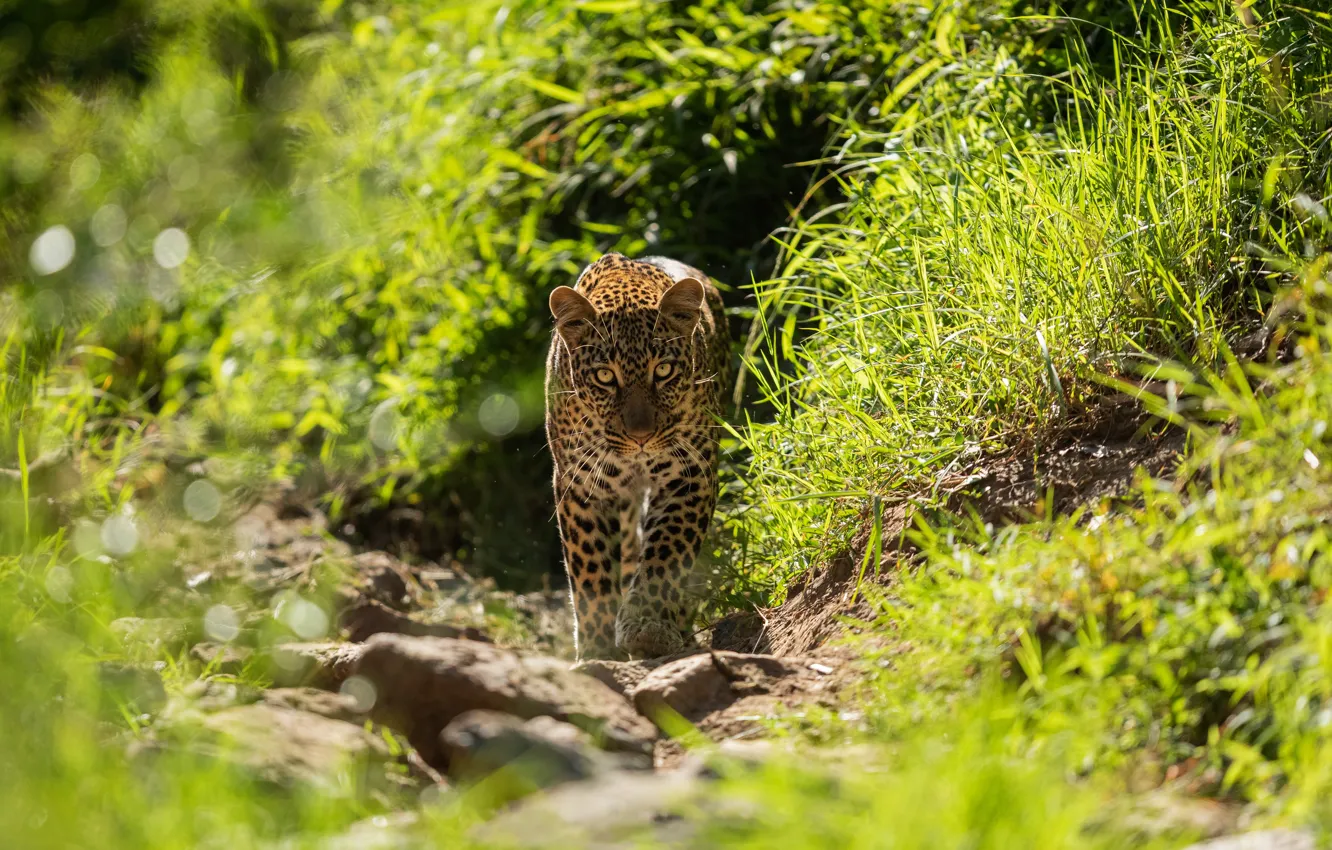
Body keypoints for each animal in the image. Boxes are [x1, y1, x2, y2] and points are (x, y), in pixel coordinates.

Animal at [545, 253, 730, 661]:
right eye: (604, 376)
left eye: (663, 370)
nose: (641, 437)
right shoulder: (581, 484)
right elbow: (591, 572)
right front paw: (597, 650)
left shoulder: (689, 474)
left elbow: (667, 554)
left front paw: (649, 628)